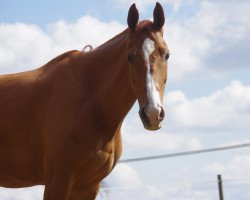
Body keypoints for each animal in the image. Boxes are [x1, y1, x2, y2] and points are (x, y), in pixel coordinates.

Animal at [0, 2, 170, 199]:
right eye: (130, 56)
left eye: (167, 55)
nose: (153, 113)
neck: (89, 101)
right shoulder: (58, 180)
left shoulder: (89, 185)